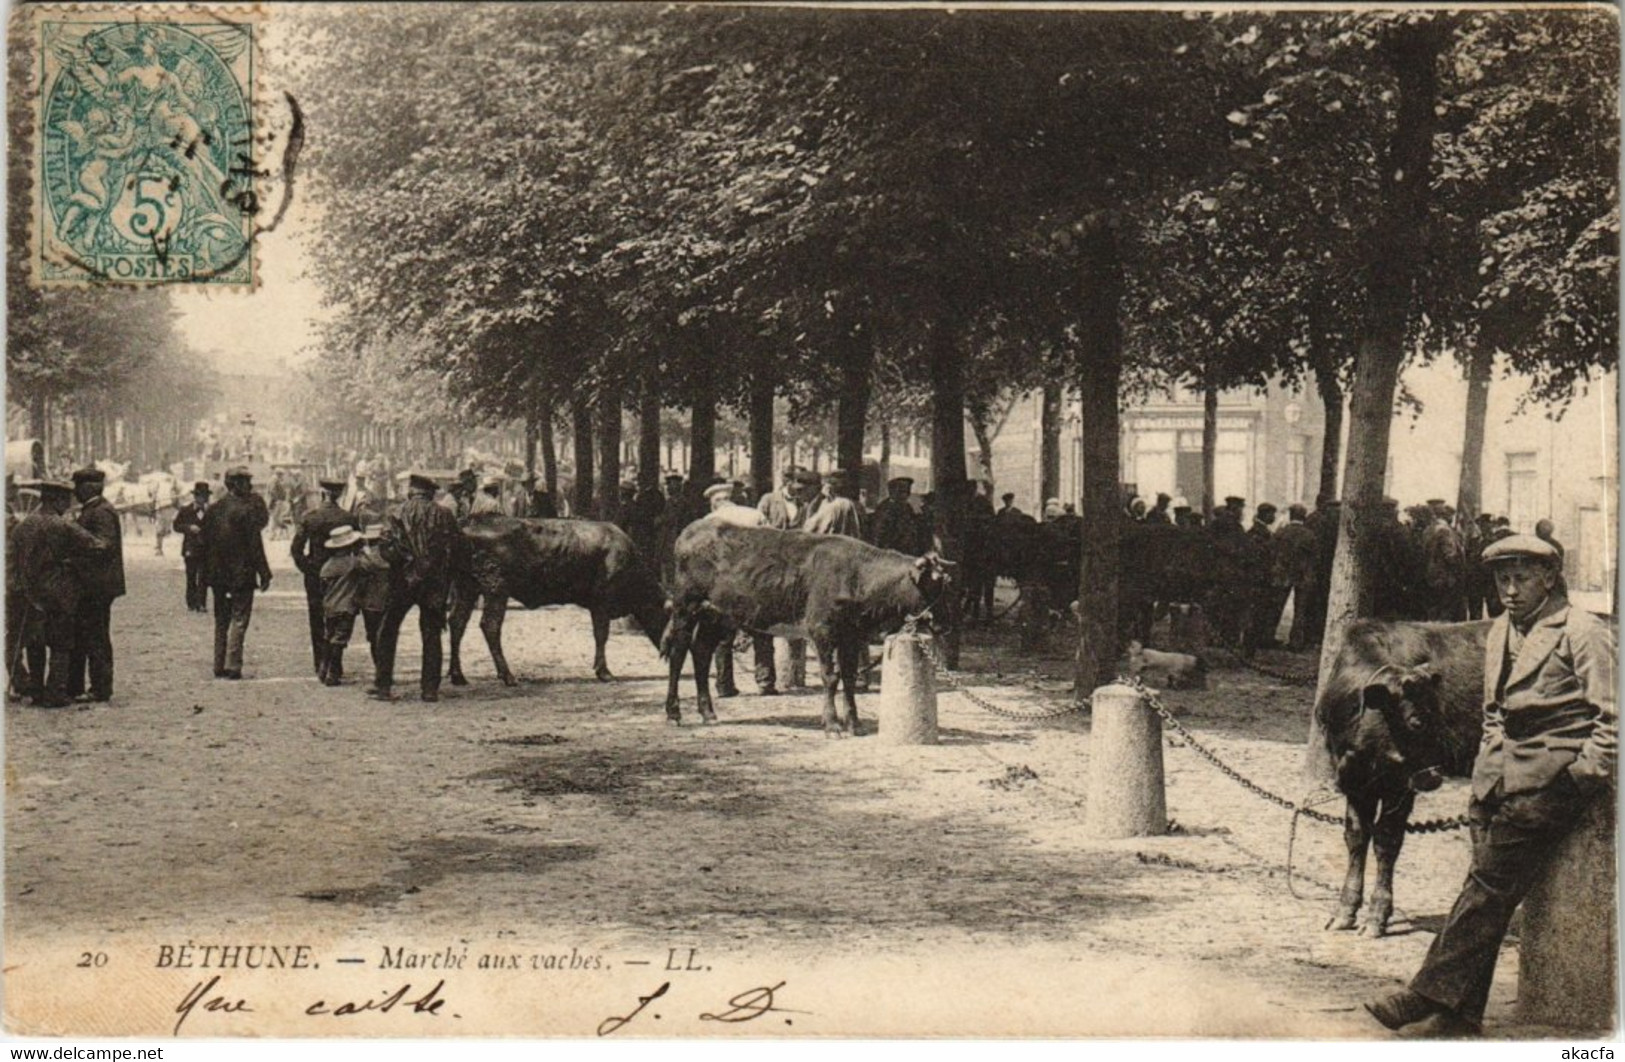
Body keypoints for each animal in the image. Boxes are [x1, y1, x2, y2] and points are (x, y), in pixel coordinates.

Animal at [445, 519, 666, 685]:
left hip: (468, 588)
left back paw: (458, 676)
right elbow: (601, 635)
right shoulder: (601, 603)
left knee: (457, 622)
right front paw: (605, 672)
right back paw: (508, 676)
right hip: (496, 590)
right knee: (490, 625)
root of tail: (466, 529)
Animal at [659, 522, 949, 740]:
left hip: (718, 615)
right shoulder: (822, 630)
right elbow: (831, 677)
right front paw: (832, 725)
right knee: (679, 652)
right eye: (930, 585)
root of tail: (692, 529)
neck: (857, 575)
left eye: (945, 584)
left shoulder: (851, 635)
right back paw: (674, 713)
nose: (944, 625)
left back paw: (707, 712)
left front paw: (854, 724)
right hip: (686, 605)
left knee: (701, 651)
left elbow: (849, 678)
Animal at [1313, 623, 1488, 941]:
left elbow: (1387, 839)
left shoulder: (1400, 784)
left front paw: (1376, 916)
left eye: (1439, 715)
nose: (1433, 774)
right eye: (1416, 721)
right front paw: (1345, 911)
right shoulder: (1356, 782)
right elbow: (1356, 836)